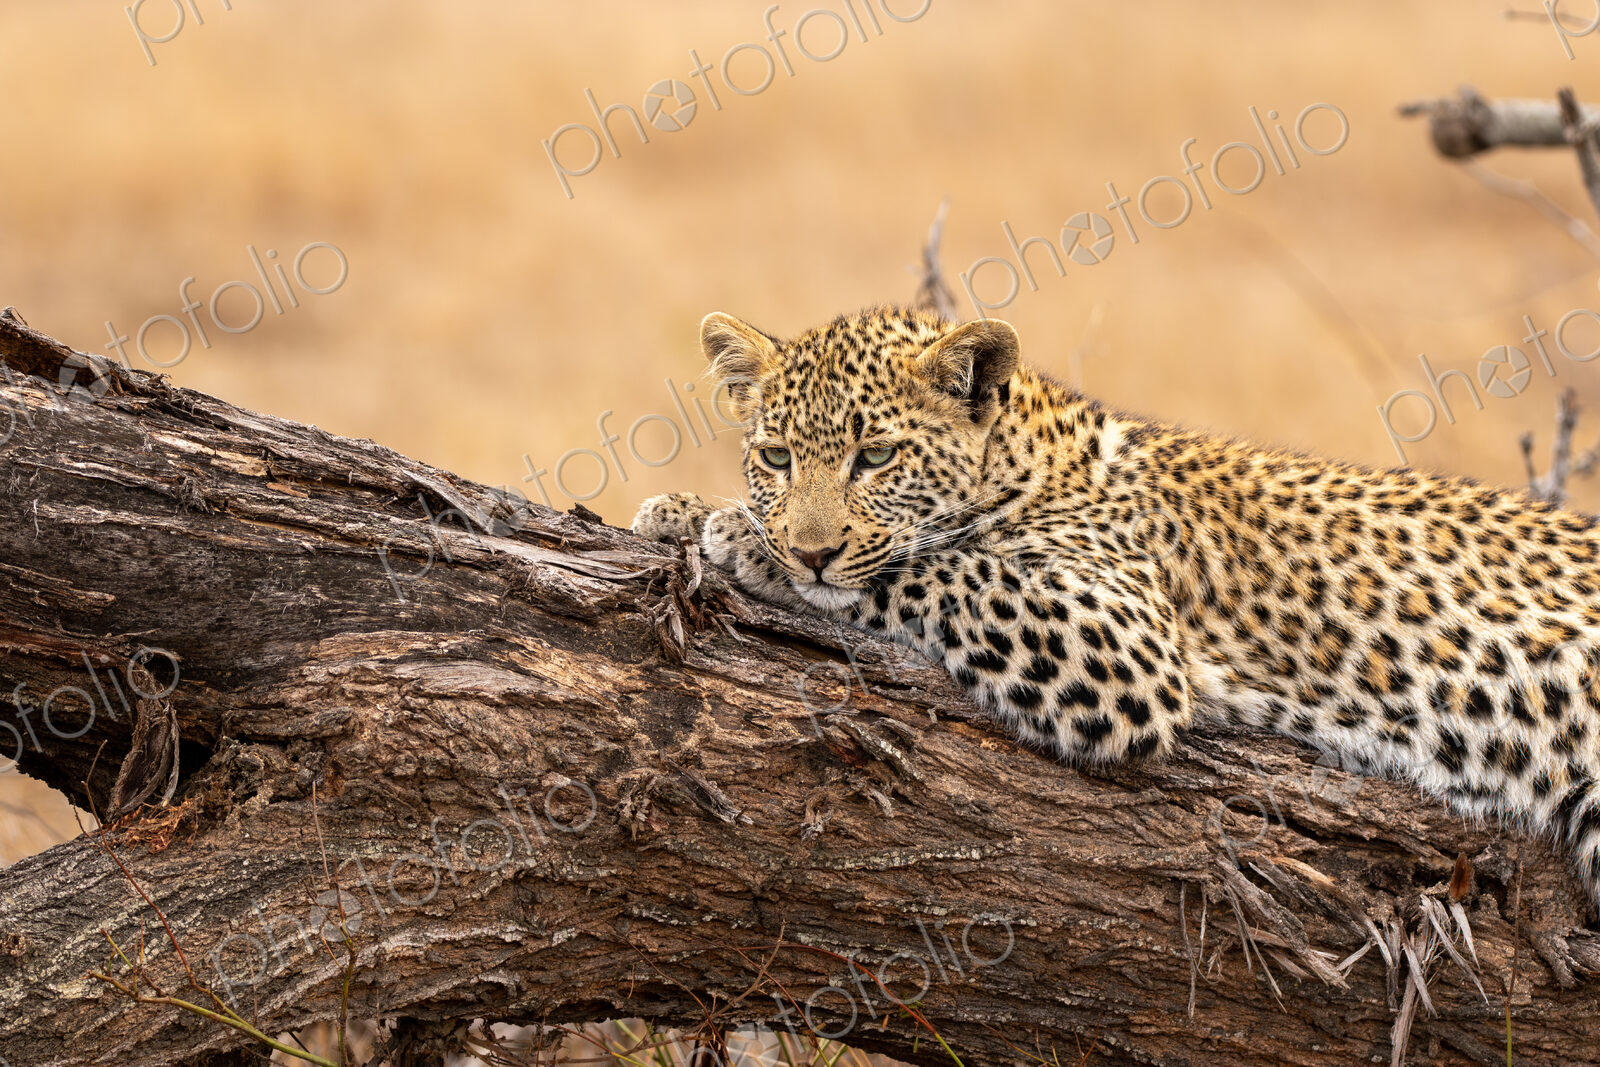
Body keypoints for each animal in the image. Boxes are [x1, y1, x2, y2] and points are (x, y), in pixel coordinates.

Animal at [632, 305, 1600, 907]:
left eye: (876, 457)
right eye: (777, 456)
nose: (810, 547)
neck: (1021, 457)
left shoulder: (1119, 637)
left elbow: (940, 565)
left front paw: (744, 541)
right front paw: (682, 510)